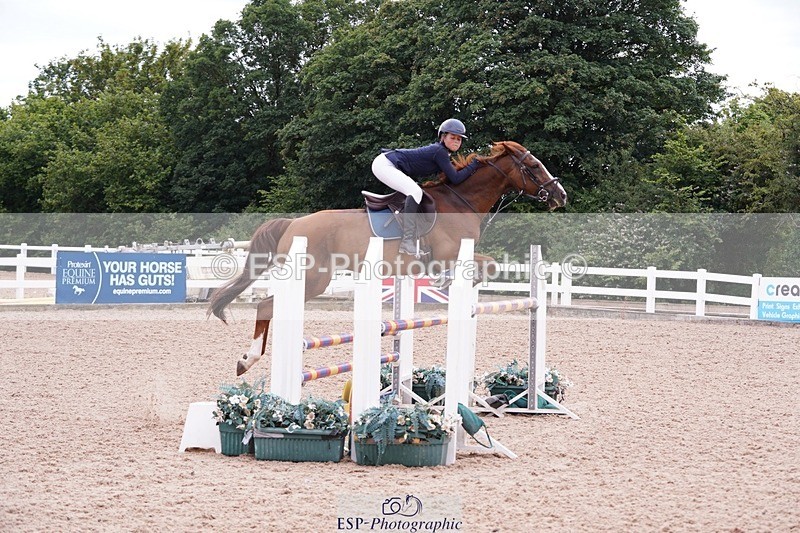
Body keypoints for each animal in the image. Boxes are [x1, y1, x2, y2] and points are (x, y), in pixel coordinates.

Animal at [208, 140, 567, 375]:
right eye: (534, 166)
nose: (560, 196)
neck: (461, 200)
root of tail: (292, 224)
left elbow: (486, 263)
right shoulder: (447, 254)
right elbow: (485, 263)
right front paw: (448, 282)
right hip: (313, 279)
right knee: (267, 306)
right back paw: (247, 361)